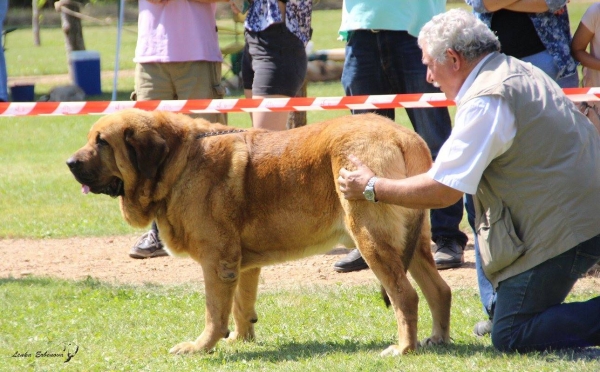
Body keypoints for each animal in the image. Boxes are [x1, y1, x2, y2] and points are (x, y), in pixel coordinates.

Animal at [67, 109, 450, 356]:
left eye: (102, 142)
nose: (70, 163)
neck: (179, 159)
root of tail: (404, 136)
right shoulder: (241, 264)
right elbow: (240, 305)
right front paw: (240, 338)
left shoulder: (216, 260)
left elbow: (214, 310)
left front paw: (201, 346)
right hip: (413, 243)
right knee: (439, 290)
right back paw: (437, 340)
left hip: (371, 239)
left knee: (405, 295)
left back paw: (403, 348)